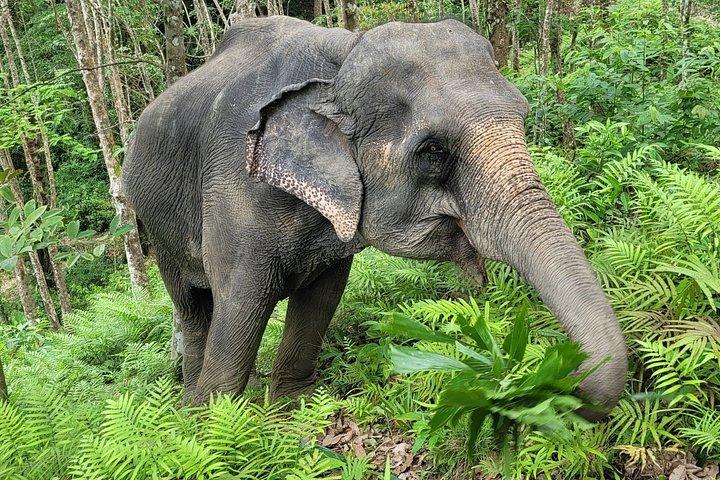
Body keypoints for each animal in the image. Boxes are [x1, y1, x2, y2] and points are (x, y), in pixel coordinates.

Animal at [122, 16, 628, 416]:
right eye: (432, 152)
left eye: (522, 117)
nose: (566, 380)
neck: (343, 55)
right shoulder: (233, 189)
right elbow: (242, 303)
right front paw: (216, 427)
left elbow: (322, 297)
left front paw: (294, 409)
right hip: (153, 223)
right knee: (194, 307)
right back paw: (188, 406)